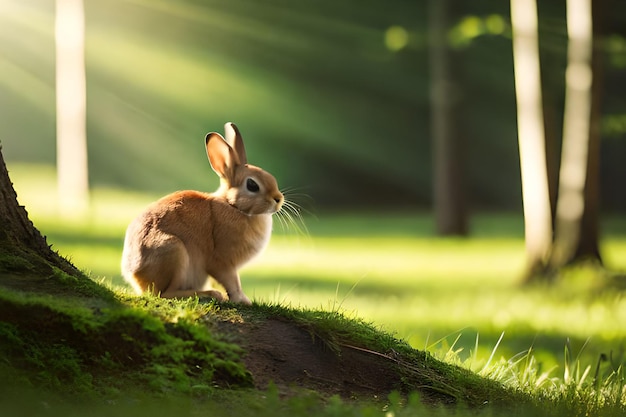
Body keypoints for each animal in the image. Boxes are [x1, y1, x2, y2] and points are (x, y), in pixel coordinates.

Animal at [120, 122, 282, 304]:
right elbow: (232, 282)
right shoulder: (222, 262)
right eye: (252, 185)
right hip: (174, 252)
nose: (279, 199)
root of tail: (133, 274)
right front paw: (242, 300)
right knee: (164, 294)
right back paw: (209, 294)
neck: (233, 206)